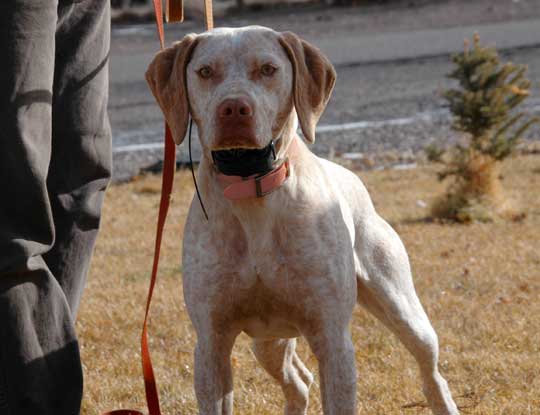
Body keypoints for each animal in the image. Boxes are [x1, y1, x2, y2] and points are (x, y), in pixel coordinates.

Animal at [144, 26, 460, 415]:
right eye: (205, 72)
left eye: (267, 69)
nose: (234, 108)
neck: (253, 189)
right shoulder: (211, 343)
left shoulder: (332, 338)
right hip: (268, 341)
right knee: (299, 382)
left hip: (402, 308)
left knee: (431, 371)